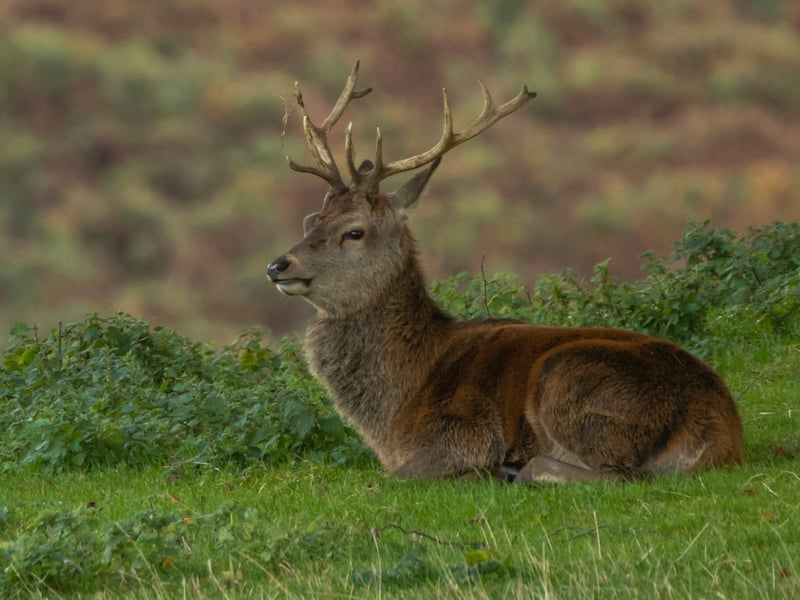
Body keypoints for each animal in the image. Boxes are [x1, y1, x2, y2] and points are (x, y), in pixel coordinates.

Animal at [267, 62, 744, 483]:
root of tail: (723, 430)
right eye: (311, 220)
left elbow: (386, 478)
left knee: (619, 474)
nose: (277, 265)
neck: (394, 413)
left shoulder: (460, 434)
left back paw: (515, 470)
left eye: (354, 232)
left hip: (571, 381)